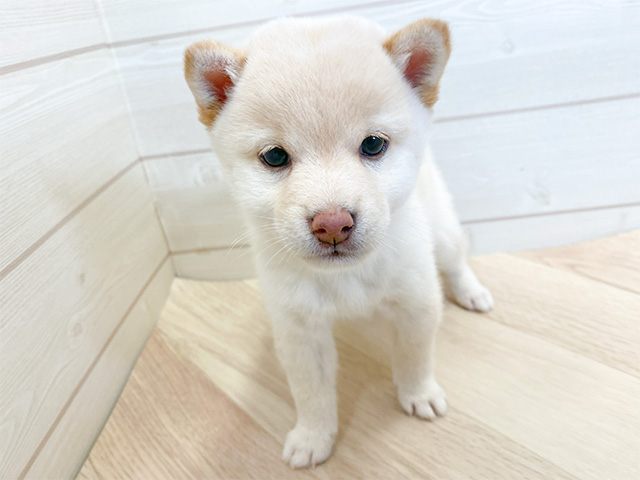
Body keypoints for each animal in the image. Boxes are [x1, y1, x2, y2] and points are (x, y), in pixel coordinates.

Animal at [185, 15, 496, 468]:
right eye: (274, 156)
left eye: (373, 145)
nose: (332, 224)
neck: (346, 279)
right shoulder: (299, 330)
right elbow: (311, 393)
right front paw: (314, 436)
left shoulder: (416, 303)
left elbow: (414, 356)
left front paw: (418, 393)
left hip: (442, 228)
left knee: (456, 259)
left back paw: (472, 291)